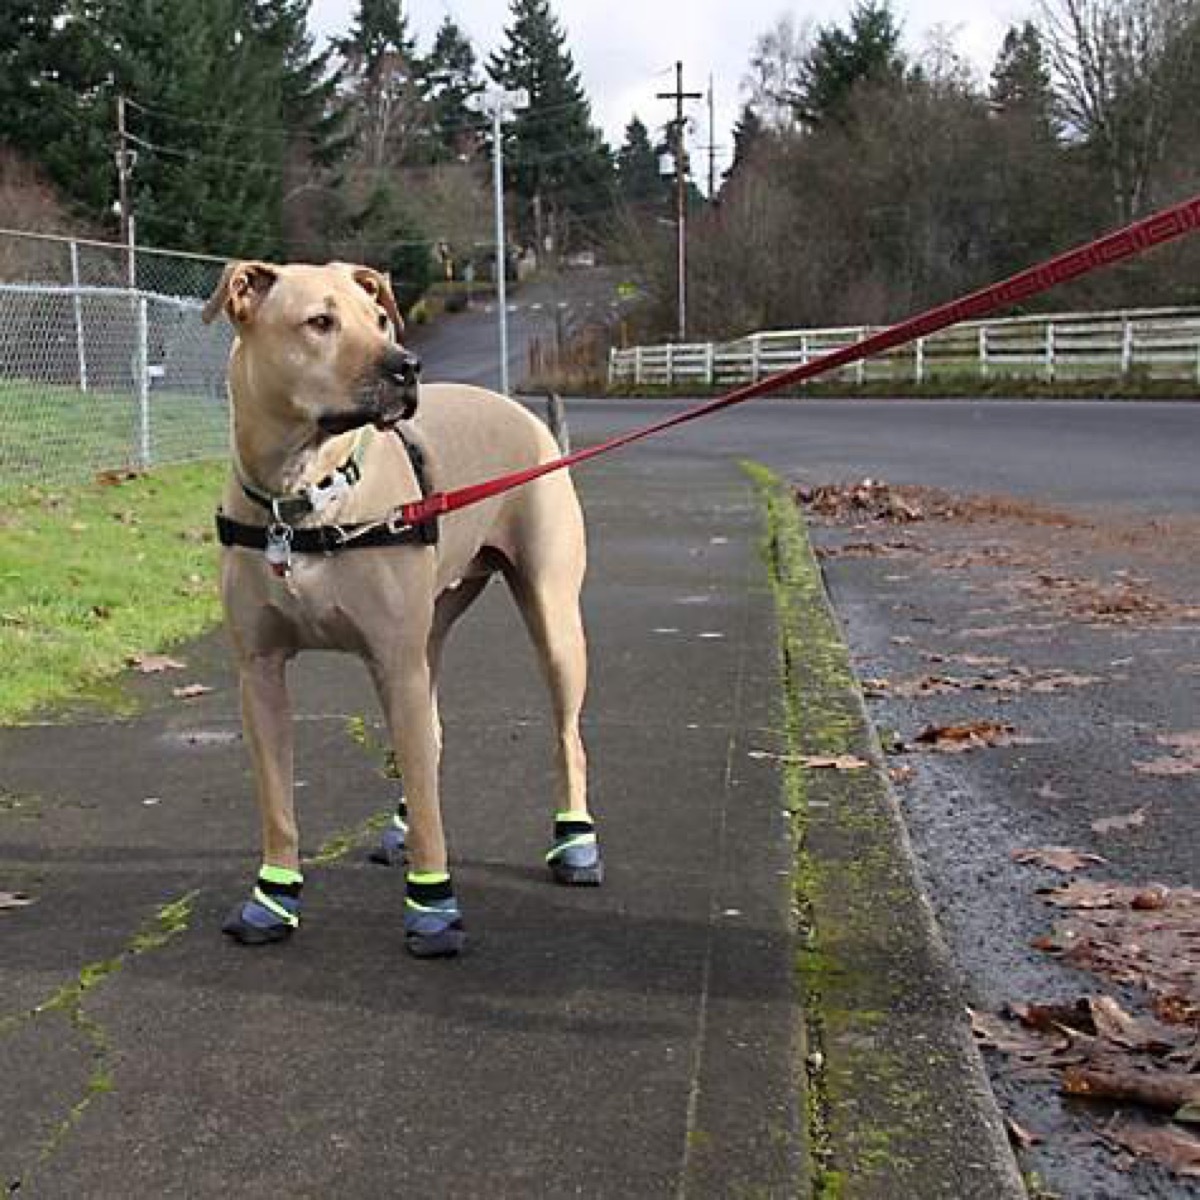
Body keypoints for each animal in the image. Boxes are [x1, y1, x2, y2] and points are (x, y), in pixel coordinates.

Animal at [206, 262, 600, 955]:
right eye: (320, 322)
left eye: (380, 319)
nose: (407, 366)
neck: (303, 500)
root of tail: (528, 417)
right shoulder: (260, 674)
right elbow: (278, 803)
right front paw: (273, 899)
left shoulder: (395, 661)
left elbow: (428, 794)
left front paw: (433, 907)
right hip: (430, 634)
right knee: (433, 731)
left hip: (550, 620)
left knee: (566, 736)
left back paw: (575, 841)